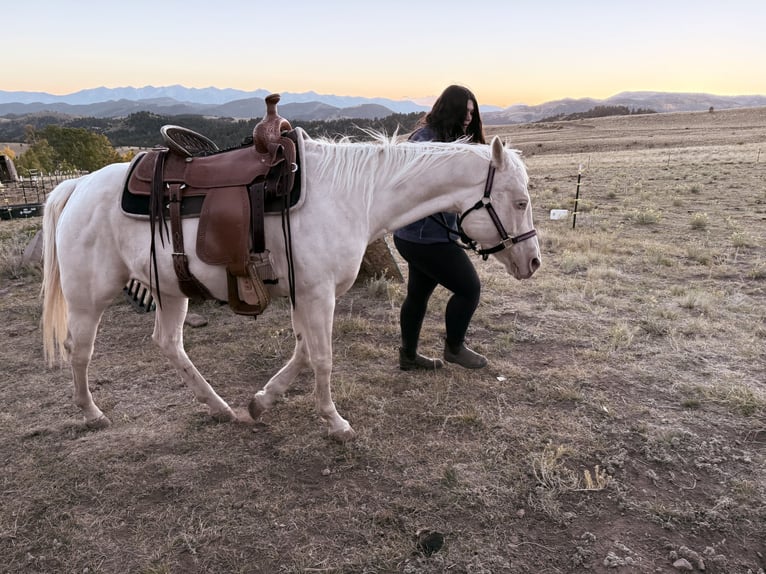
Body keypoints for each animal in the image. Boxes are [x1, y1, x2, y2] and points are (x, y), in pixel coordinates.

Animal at [41, 130, 541, 441]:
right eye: (520, 201)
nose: (533, 261)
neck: (351, 197)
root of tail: (77, 185)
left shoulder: (310, 295)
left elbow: (302, 352)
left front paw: (261, 402)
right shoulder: (318, 295)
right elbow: (321, 357)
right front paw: (335, 422)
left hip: (169, 291)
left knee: (168, 343)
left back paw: (219, 407)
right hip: (90, 297)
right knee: (78, 350)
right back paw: (91, 413)